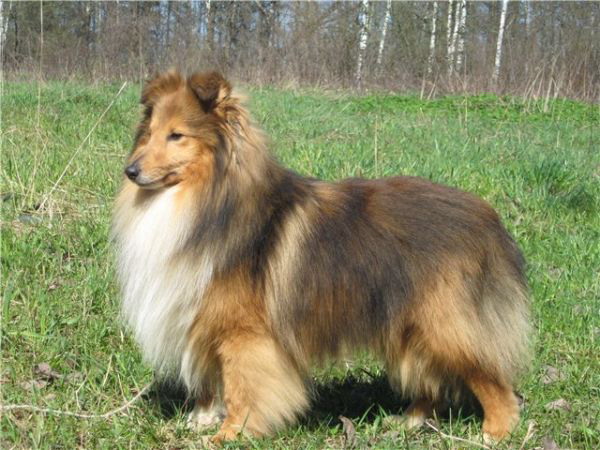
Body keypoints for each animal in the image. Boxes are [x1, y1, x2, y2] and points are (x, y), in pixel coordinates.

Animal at [112, 70, 528, 442]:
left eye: (177, 135)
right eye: (148, 134)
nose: (131, 170)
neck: (208, 199)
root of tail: (489, 220)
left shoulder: (244, 333)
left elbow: (241, 386)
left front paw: (231, 433)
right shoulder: (202, 314)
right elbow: (212, 381)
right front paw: (198, 420)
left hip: (445, 325)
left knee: (493, 381)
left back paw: (495, 432)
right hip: (410, 325)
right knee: (432, 381)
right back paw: (408, 420)